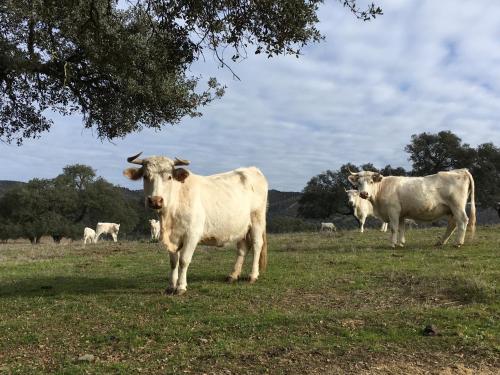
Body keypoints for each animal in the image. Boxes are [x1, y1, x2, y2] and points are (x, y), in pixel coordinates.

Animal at [123, 151, 268, 296]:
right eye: (145, 176)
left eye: (169, 177)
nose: (155, 200)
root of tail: (252, 169)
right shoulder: (173, 238)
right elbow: (173, 262)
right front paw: (171, 286)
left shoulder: (192, 234)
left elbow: (184, 260)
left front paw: (181, 287)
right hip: (241, 227)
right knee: (242, 249)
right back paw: (233, 275)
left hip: (257, 220)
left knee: (257, 245)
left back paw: (253, 276)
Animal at [348, 169, 476, 248]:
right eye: (358, 183)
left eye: (371, 181)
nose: (364, 194)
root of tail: (461, 170)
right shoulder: (401, 214)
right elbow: (401, 228)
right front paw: (400, 243)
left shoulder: (393, 210)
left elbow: (394, 228)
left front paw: (392, 244)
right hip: (451, 209)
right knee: (452, 224)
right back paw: (440, 242)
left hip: (457, 206)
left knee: (462, 221)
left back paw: (458, 243)